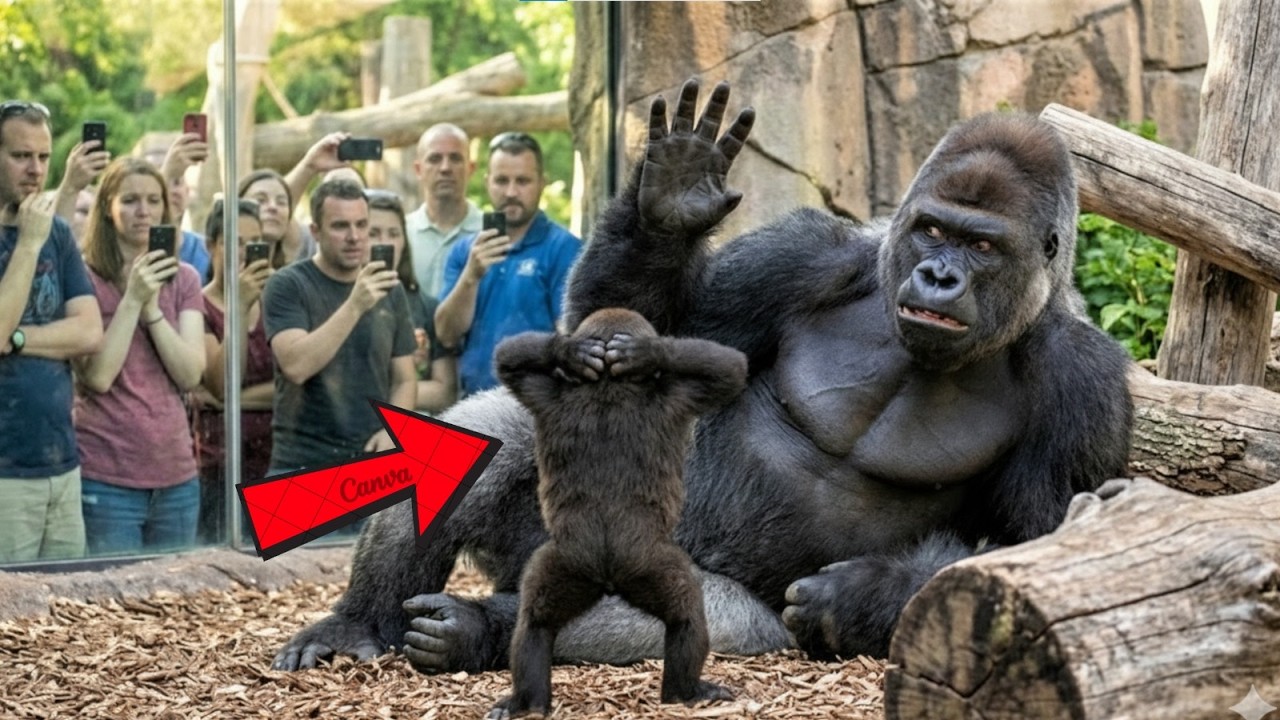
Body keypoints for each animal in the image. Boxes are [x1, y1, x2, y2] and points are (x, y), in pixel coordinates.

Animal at [485, 307, 746, 718]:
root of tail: (608, 578)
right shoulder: (680, 394)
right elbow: (731, 369)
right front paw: (639, 353)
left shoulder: (543, 392)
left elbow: (508, 359)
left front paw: (597, 352)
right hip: (646, 562)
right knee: (686, 614)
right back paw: (686, 689)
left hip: (567, 564)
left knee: (535, 624)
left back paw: (526, 700)